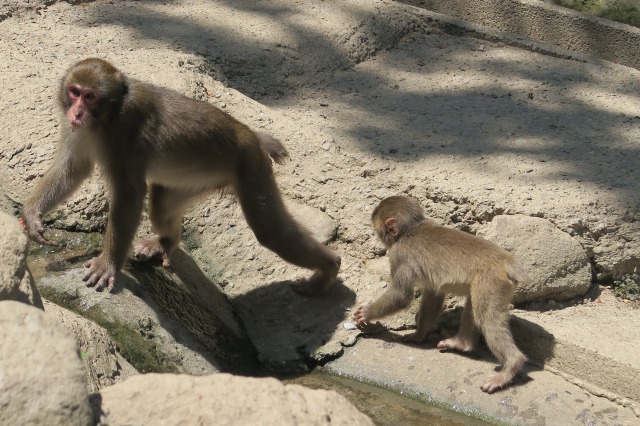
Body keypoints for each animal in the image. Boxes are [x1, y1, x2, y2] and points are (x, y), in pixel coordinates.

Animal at [22, 58, 340, 295]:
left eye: (90, 96)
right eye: (74, 92)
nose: (76, 112)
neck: (106, 118)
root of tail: (252, 136)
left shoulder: (124, 132)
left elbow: (129, 196)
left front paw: (108, 263)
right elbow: (73, 168)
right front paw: (32, 214)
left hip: (251, 167)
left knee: (272, 232)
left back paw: (329, 268)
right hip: (198, 179)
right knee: (162, 203)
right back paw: (167, 241)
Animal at [354, 196, 527, 393]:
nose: (380, 239)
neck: (411, 230)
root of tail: (507, 261)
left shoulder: (399, 254)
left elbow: (401, 295)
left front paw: (367, 312)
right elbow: (433, 294)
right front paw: (419, 335)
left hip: (492, 281)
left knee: (486, 320)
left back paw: (510, 367)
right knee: (473, 304)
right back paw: (462, 343)